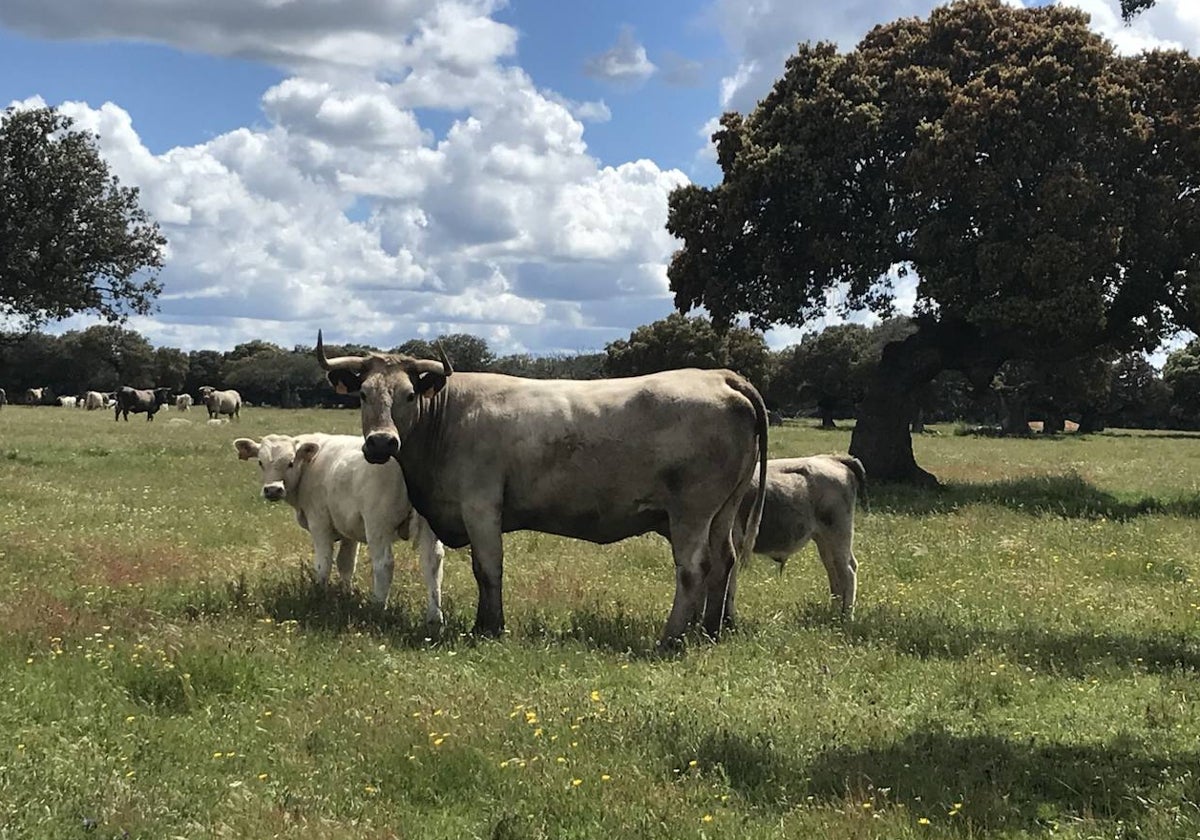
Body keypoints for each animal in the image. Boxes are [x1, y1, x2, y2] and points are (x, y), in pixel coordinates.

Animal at [231, 432, 444, 619]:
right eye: (261, 463)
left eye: (290, 463)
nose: (273, 490)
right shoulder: (349, 529)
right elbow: (346, 564)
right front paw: (346, 595)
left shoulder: (319, 523)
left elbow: (323, 563)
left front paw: (319, 595)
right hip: (429, 526)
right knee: (432, 563)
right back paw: (434, 616)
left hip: (377, 525)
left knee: (384, 564)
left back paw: (377, 608)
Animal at [316, 328, 768, 643]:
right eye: (363, 395)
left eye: (409, 395)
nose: (381, 443)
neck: (448, 417)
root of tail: (720, 376)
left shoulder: (481, 506)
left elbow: (488, 568)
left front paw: (489, 628)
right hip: (723, 509)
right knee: (724, 561)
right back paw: (710, 630)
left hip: (692, 511)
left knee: (694, 568)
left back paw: (671, 639)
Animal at [729, 458, 864, 619]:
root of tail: (832, 459)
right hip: (824, 540)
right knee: (834, 572)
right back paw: (835, 613)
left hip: (838, 533)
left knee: (848, 571)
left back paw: (847, 616)